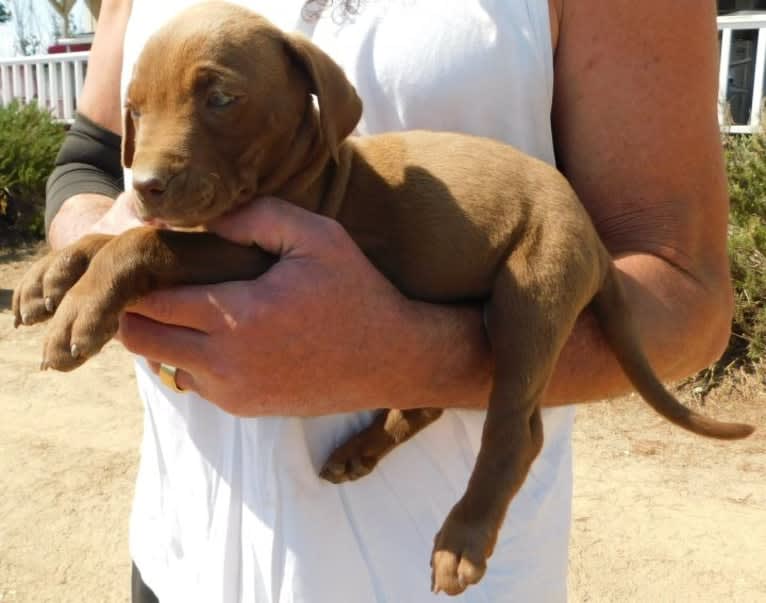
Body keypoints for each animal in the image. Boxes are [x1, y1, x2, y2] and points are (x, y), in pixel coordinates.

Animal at [12, 1, 756, 596]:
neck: (307, 169)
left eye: (219, 98)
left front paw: (81, 311)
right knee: (429, 398)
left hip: (530, 293)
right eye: (134, 111)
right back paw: (360, 449)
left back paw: (462, 538)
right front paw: (50, 275)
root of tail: (593, 237)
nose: (144, 184)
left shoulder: (251, 253)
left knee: (516, 429)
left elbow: (144, 243)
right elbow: (118, 236)